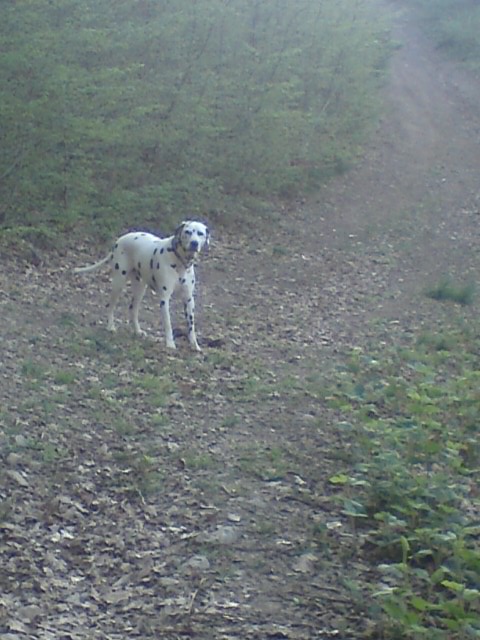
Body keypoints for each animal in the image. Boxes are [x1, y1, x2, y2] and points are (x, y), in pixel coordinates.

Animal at [74, 220, 209, 350]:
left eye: (200, 233)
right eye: (187, 232)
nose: (194, 243)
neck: (179, 262)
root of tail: (119, 240)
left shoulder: (189, 300)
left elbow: (191, 326)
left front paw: (195, 345)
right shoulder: (164, 299)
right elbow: (168, 324)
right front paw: (170, 344)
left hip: (140, 289)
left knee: (133, 309)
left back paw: (137, 331)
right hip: (118, 283)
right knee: (111, 306)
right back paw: (110, 326)